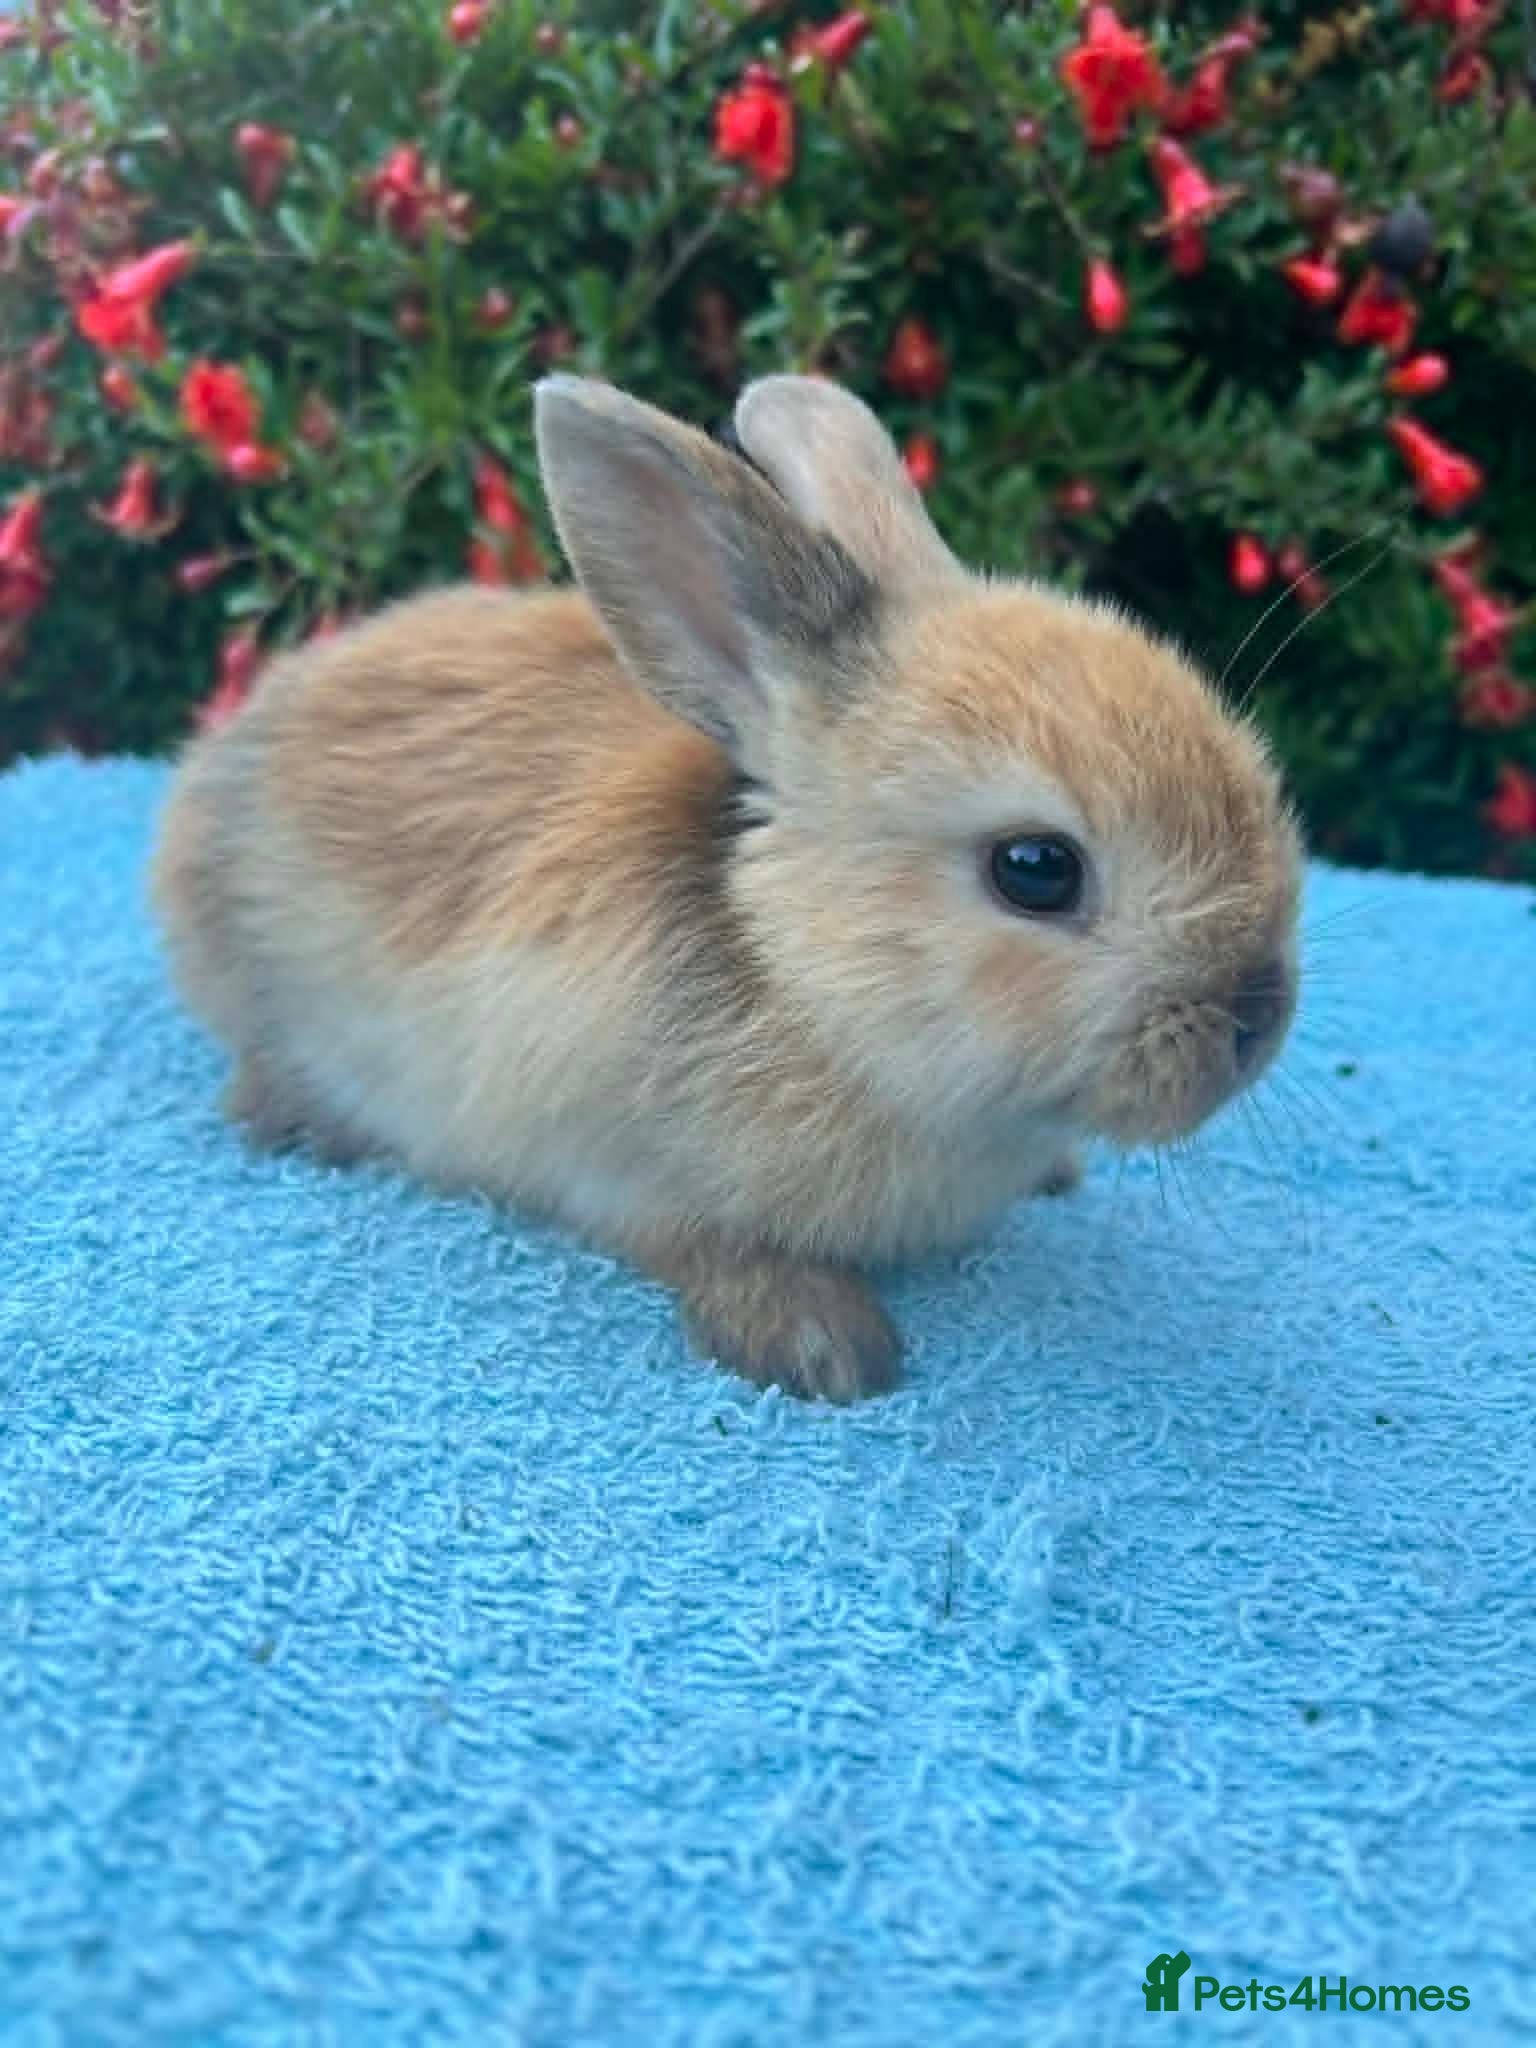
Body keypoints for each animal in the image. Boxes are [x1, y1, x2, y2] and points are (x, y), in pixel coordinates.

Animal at [153, 372, 1301, 1402]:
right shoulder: (604, 1158)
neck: (804, 974)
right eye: (1037, 869)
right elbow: (698, 1241)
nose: (1258, 1019)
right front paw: (821, 1342)